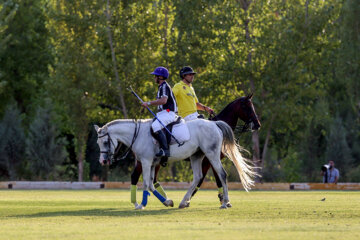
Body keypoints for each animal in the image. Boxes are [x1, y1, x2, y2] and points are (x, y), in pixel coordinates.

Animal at [94, 119, 255, 209]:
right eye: (98, 142)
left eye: (106, 142)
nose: (103, 161)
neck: (138, 135)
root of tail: (214, 124)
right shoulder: (152, 164)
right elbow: (151, 185)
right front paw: (168, 202)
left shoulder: (146, 162)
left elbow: (146, 184)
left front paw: (142, 205)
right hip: (196, 156)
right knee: (198, 177)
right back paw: (184, 202)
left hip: (212, 154)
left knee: (221, 174)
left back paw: (225, 203)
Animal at [131, 94, 260, 203]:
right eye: (247, 107)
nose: (257, 124)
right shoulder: (208, 160)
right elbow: (213, 178)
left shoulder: (207, 160)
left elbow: (207, 179)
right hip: (147, 160)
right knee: (136, 176)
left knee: (152, 179)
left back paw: (164, 199)